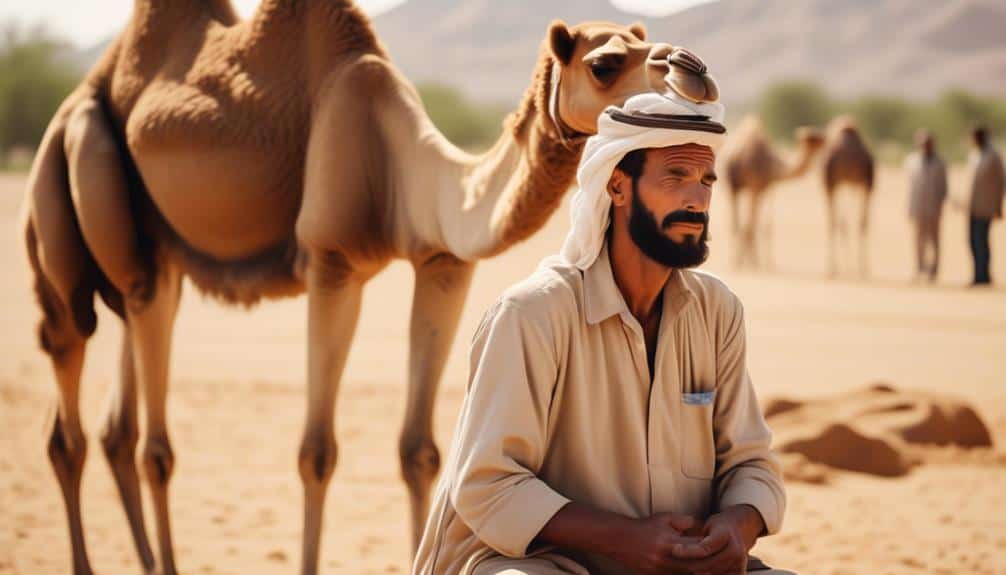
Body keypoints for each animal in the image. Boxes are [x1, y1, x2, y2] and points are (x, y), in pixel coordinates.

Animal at [21, 1, 682, 573]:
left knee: (123, 410)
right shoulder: (331, 260)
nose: (688, 71)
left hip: (160, 259)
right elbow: (316, 453)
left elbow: (421, 450)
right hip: (79, 159)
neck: (403, 172)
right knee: (83, 383)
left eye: (646, 42)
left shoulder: (442, 263)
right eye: (604, 63)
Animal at [724, 116, 824, 270]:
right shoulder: (765, 187)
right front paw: (763, 263)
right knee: (748, 224)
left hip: (734, 186)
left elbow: (759, 224)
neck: (779, 168)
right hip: (748, 185)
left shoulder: (762, 189)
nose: (824, 140)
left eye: (818, 138)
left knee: (738, 223)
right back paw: (744, 261)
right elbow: (763, 225)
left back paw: (738, 260)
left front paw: (754, 261)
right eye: (812, 139)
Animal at [822, 116, 875, 277]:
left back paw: (836, 268)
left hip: (834, 183)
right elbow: (847, 222)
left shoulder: (830, 184)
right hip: (866, 183)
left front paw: (834, 268)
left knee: (837, 221)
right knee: (862, 222)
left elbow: (836, 222)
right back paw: (863, 268)